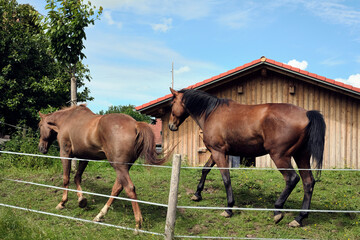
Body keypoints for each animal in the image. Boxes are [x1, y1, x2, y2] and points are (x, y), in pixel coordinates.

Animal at [37, 104, 165, 228]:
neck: (66, 120)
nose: (41, 148)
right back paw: (100, 215)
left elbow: (66, 179)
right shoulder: (84, 157)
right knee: (117, 188)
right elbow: (77, 177)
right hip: (123, 168)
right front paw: (81, 200)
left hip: (119, 167)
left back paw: (138, 222)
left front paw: (62, 202)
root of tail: (135, 125)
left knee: (129, 188)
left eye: (40, 125)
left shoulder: (65, 154)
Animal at [169, 88, 326, 227]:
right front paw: (197, 194)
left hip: (280, 156)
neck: (211, 113)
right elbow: (205, 169)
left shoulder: (218, 152)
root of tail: (306, 114)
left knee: (292, 179)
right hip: (301, 156)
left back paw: (277, 210)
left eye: (172, 103)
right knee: (308, 182)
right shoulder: (215, 152)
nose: (171, 126)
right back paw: (299, 218)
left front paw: (229, 208)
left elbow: (226, 178)